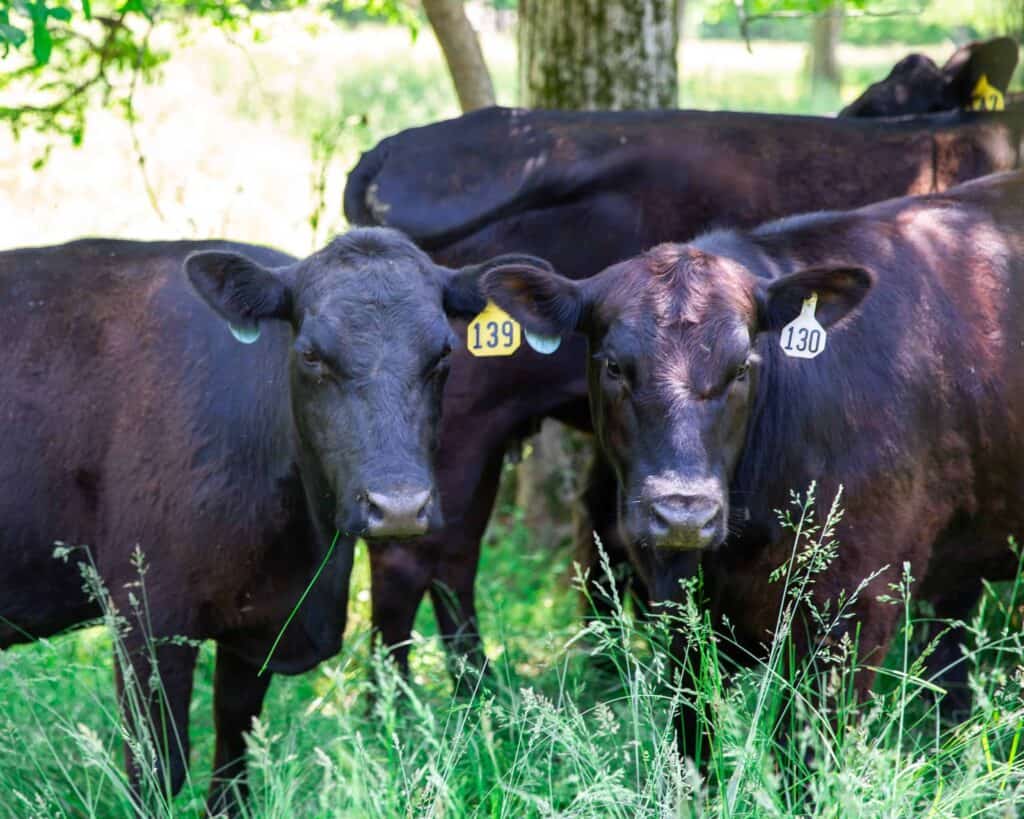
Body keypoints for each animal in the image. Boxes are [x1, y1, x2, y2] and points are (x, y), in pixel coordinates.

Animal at [0, 230, 523, 812]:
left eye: (444, 353)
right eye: (311, 354)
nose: (399, 506)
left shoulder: (258, 623)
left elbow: (235, 739)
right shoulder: (145, 611)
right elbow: (157, 766)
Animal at [344, 104, 1024, 690]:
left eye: (744, 366)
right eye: (613, 365)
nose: (684, 514)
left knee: (456, 550)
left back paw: (480, 693)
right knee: (410, 553)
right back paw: (401, 709)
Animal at [481, 169, 1024, 752]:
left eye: (742, 366)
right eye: (614, 366)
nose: (684, 514)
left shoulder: (852, 609)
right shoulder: (684, 618)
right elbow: (692, 742)